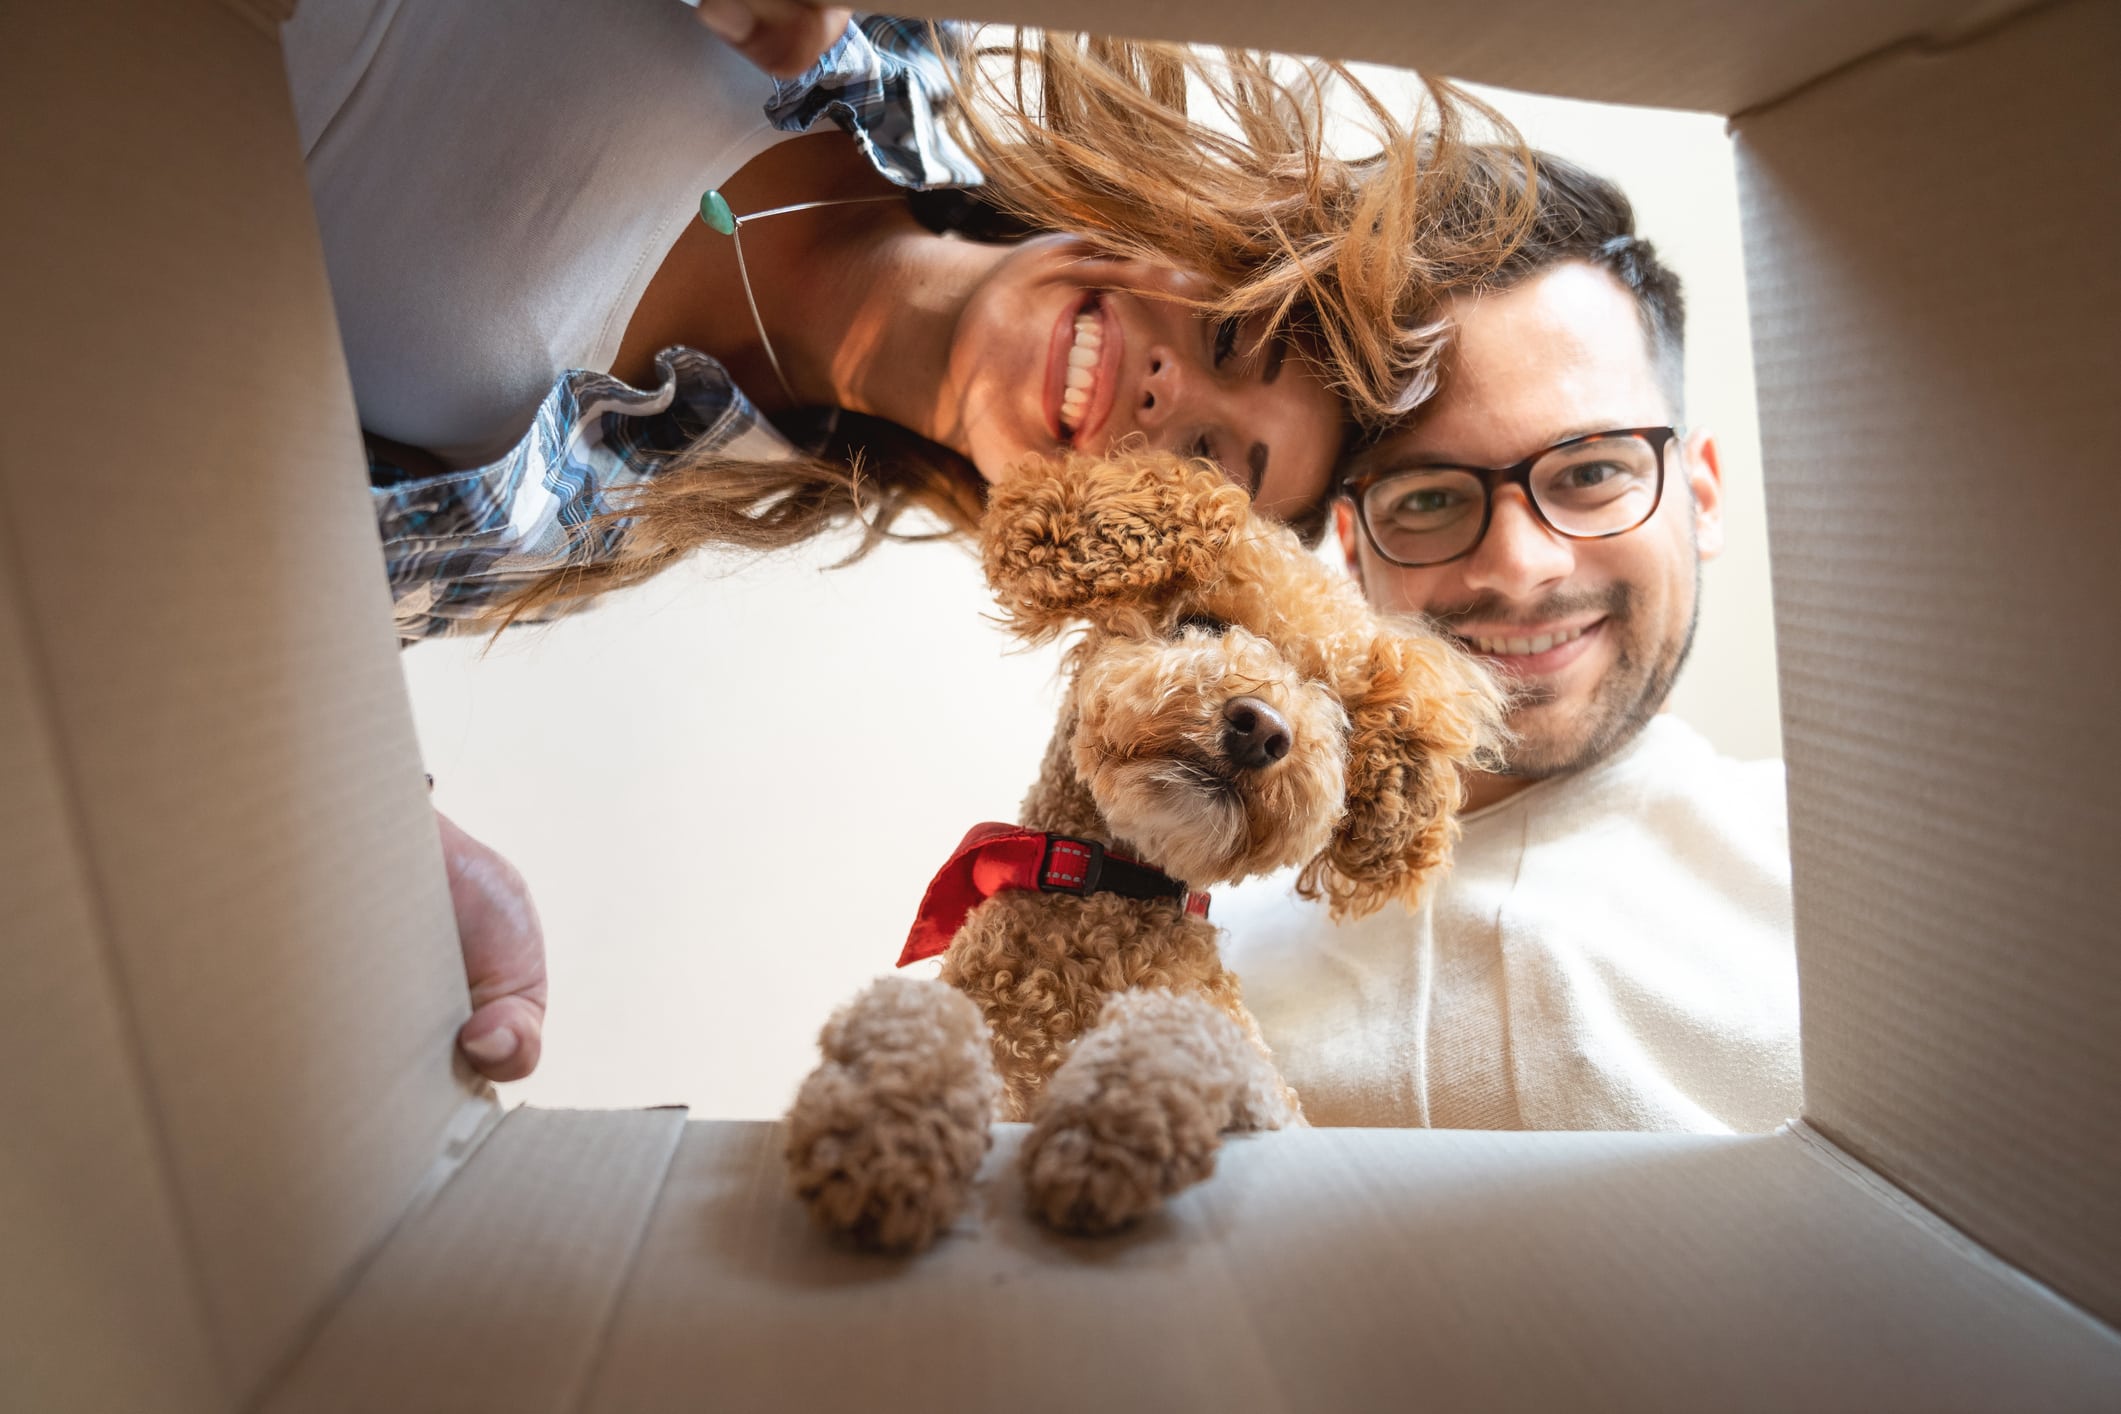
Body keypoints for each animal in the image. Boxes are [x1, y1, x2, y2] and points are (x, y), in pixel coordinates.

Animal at [789, 451, 1501, 1246]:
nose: (1261, 728)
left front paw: (1108, 1132)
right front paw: (881, 1133)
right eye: (1201, 622)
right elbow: (918, 1025)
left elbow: (1181, 1033)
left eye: (1340, 714)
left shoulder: (1266, 1097)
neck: (1106, 891)